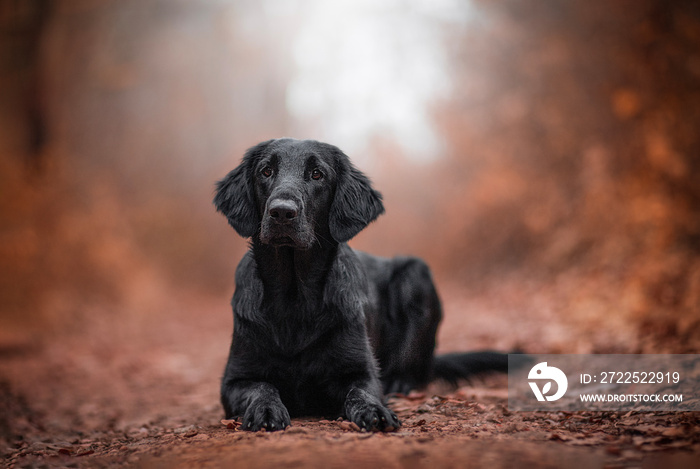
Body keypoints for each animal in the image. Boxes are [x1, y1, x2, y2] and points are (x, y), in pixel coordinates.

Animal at [216, 138, 506, 432]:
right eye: (266, 171)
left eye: (317, 174)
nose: (282, 212)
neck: (294, 298)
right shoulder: (234, 380)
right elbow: (262, 387)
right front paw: (265, 410)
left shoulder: (361, 371)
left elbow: (361, 392)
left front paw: (375, 410)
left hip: (415, 274)